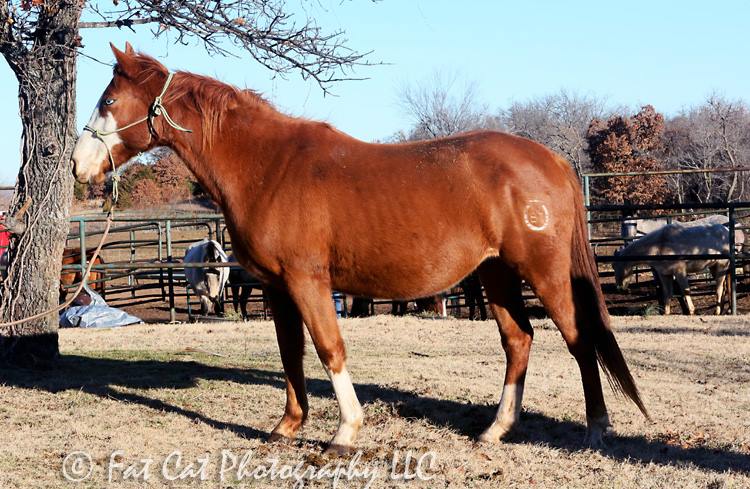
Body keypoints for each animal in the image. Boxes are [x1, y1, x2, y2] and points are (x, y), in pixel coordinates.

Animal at [72, 43, 648, 452]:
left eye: (108, 102)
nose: (79, 166)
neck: (267, 166)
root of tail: (552, 159)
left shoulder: (308, 281)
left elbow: (330, 349)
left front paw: (345, 431)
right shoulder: (277, 288)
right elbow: (290, 353)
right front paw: (287, 426)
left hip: (543, 272)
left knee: (579, 339)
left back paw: (596, 429)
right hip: (496, 273)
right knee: (519, 340)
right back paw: (495, 429)